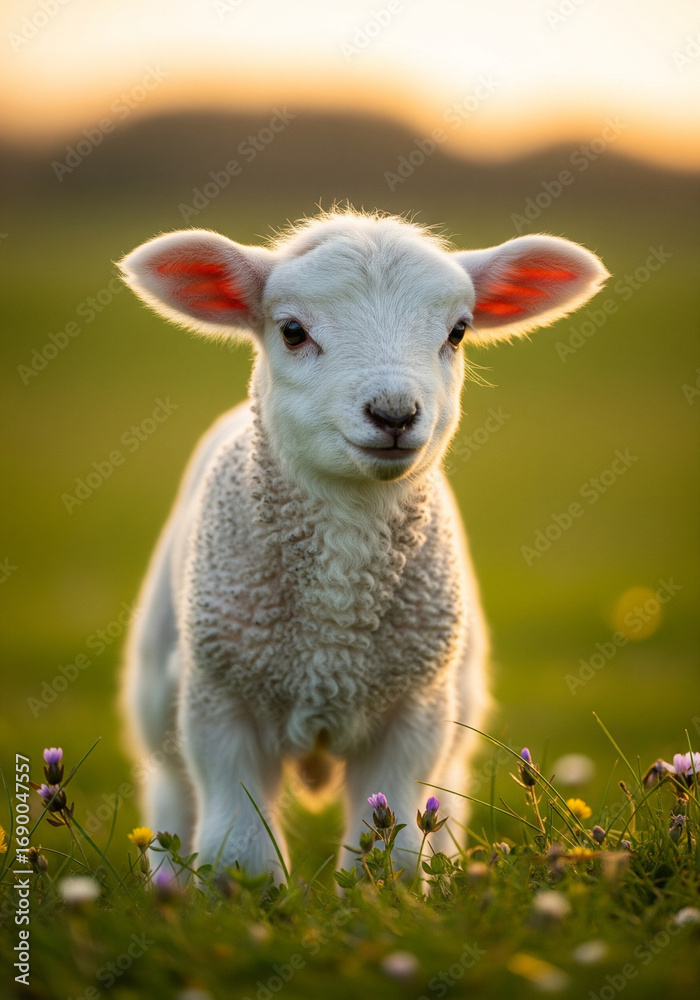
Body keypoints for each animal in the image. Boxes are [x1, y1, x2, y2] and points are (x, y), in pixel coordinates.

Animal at [118, 209, 608, 879]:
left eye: (458, 331)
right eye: (292, 331)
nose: (394, 413)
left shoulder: (415, 714)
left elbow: (396, 850)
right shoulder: (221, 704)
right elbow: (237, 850)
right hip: (160, 702)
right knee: (170, 805)